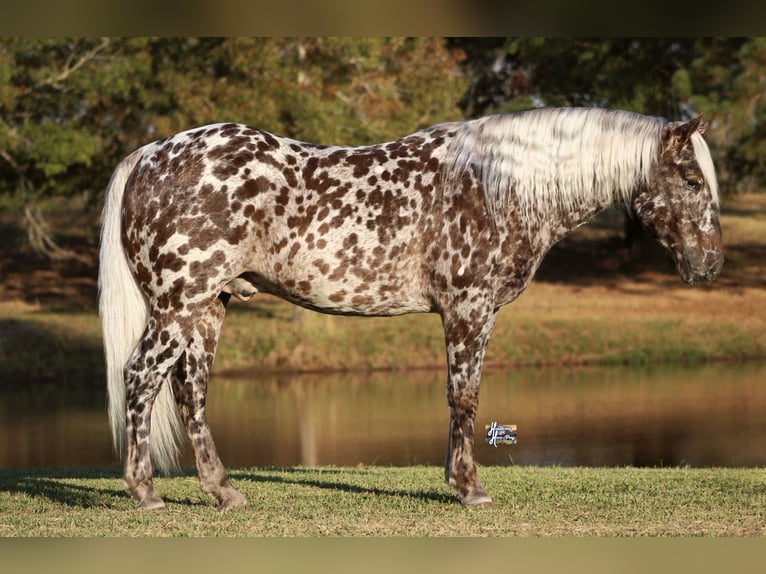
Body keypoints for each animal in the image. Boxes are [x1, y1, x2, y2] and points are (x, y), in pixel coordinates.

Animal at [100, 107, 728, 508]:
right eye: (692, 180)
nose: (711, 265)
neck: (496, 185)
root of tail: (152, 154)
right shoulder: (469, 308)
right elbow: (464, 396)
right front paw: (470, 488)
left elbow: (461, 396)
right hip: (177, 308)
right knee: (140, 378)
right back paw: (146, 493)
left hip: (209, 308)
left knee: (190, 393)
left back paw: (224, 492)